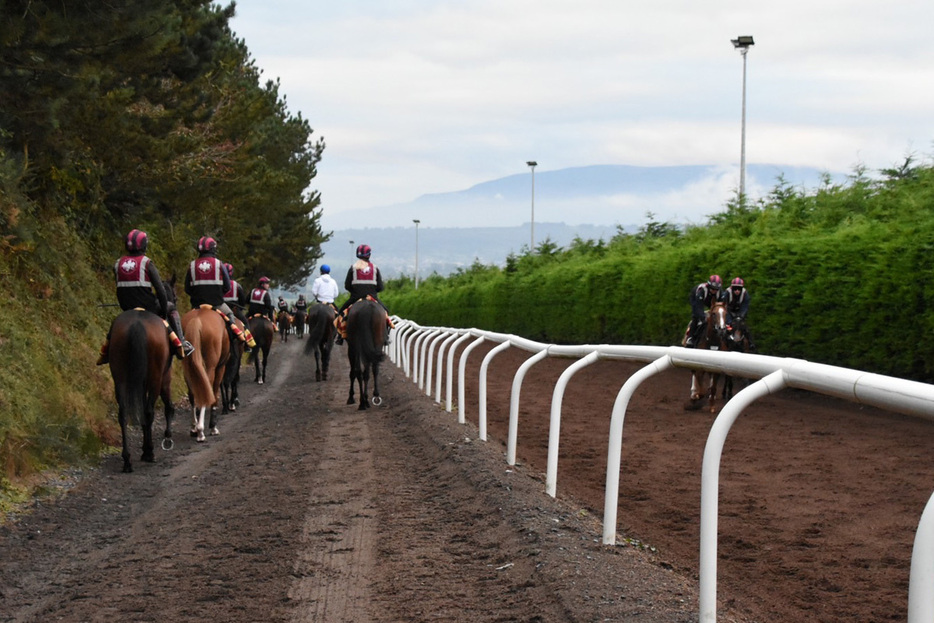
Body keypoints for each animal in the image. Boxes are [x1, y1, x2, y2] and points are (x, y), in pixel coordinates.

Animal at [107, 310, 175, 476]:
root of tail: (136, 325)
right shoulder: (164, 378)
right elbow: (163, 407)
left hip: (120, 378)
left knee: (123, 415)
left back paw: (127, 460)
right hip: (156, 378)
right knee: (149, 412)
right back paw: (150, 452)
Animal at [181, 308, 230, 444]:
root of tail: (196, 319)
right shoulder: (220, 368)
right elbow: (214, 394)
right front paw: (213, 427)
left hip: (187, 367)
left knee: (193, 394)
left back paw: (194, 427)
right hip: (211, 365)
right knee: (206, 388)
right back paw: (200, 431)